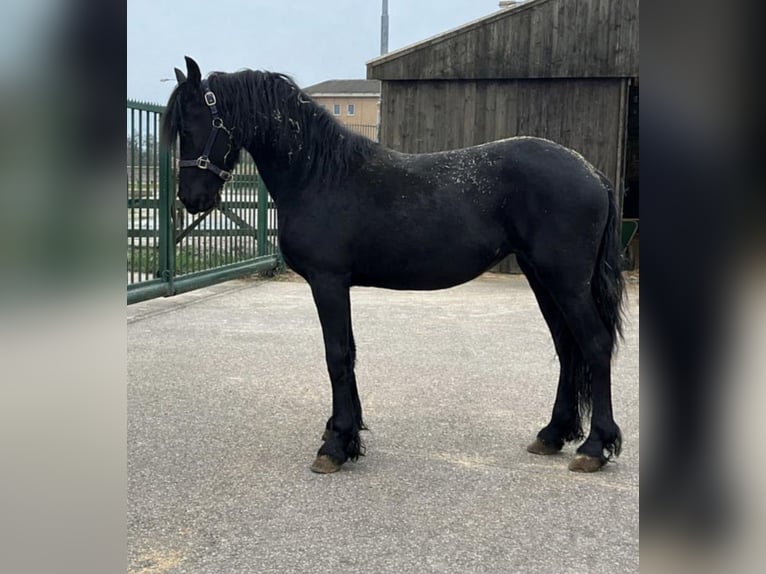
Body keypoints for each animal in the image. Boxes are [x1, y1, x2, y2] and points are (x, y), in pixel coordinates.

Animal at [161, 57, 625, 474]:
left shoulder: (328, 282)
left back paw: (594, 448)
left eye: (189, 127)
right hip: (543, 278)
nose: (191, 199)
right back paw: (553, 435)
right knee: (567, 348)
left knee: (595, 345)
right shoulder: (339, 285)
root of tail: (591, 172)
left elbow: (336, 355)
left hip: (565, 281)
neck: (319, 175)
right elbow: (348, 353)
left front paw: (335, 445)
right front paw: (347, 434)